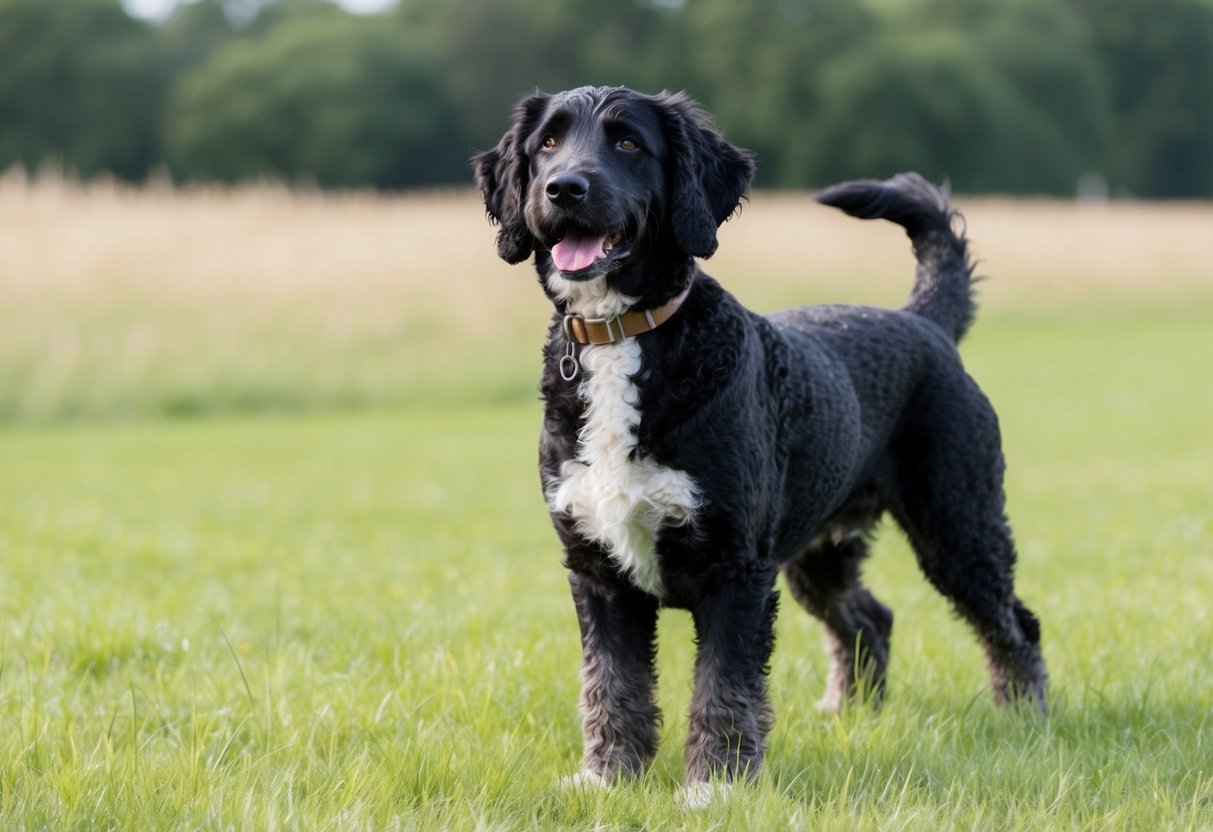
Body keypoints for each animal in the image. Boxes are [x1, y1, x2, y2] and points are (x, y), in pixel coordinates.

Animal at [470, 87, 1043, 805]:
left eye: (628, 141)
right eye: (547, 142)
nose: (564, 187)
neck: (624, 339)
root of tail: (921, 321)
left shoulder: (735, 572)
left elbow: (723, 690)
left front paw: (713, 787)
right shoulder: (598, 571)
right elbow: (610, 687)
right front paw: (607, 778)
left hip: (958, 524)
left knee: (1014, 622)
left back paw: (1024, 717)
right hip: (818, 550)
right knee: (869, 616)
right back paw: (849, 710)